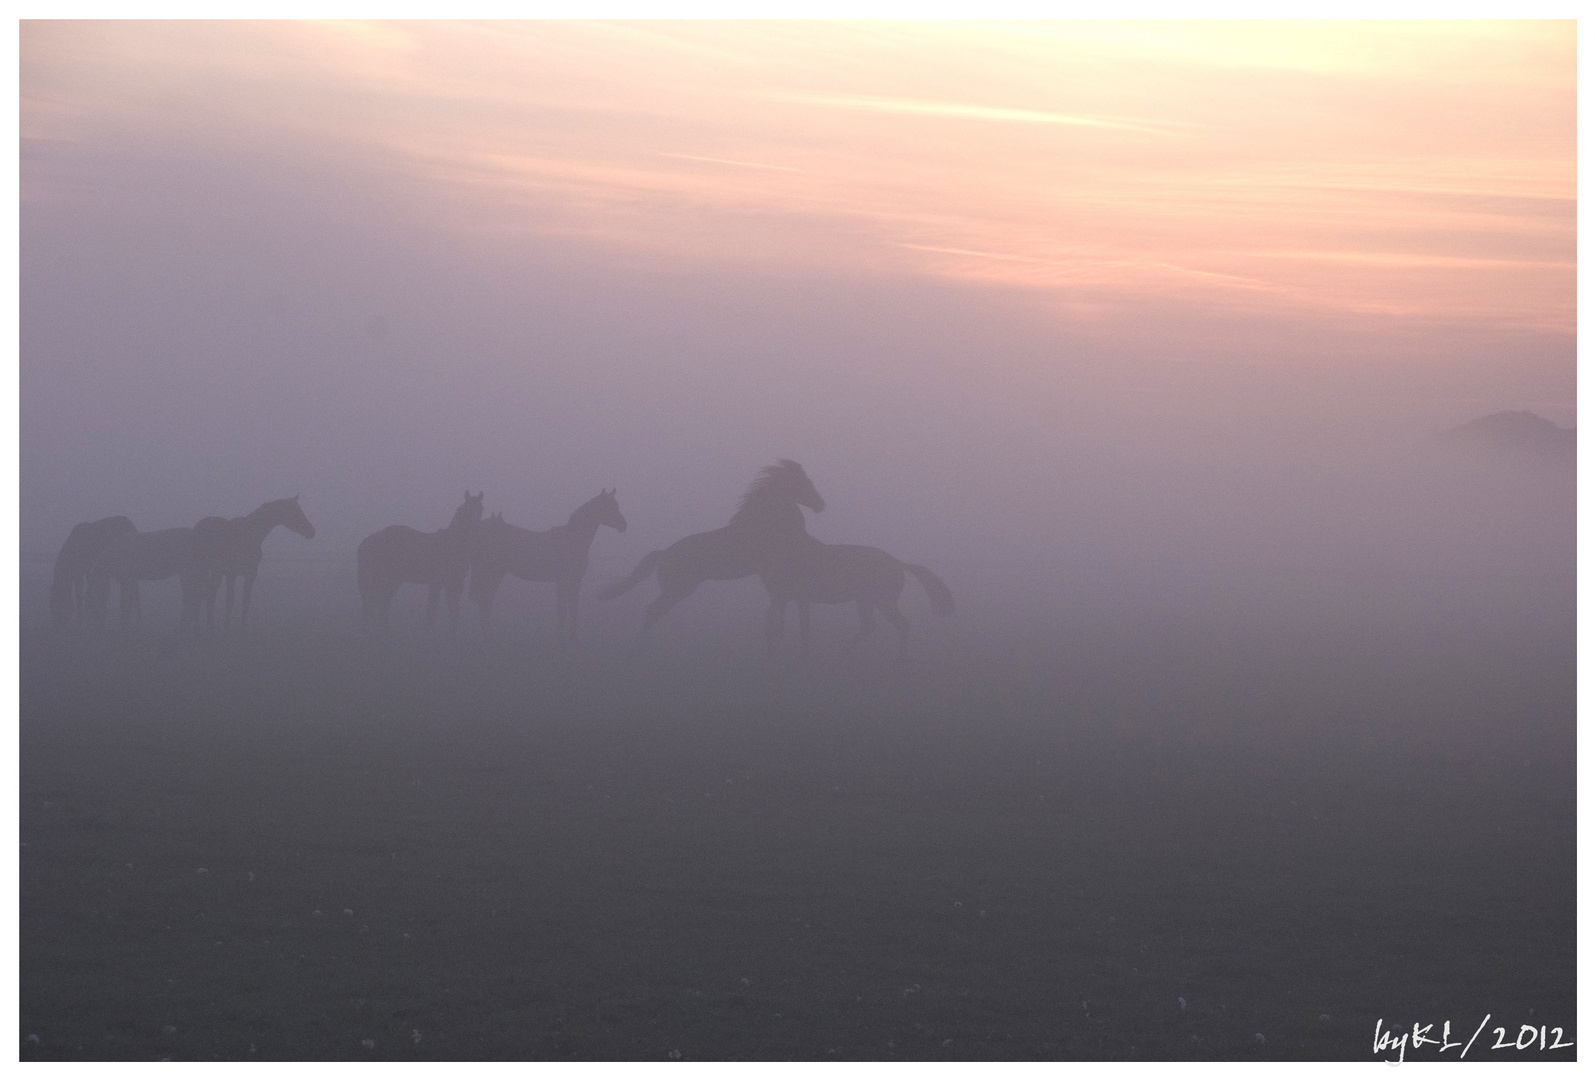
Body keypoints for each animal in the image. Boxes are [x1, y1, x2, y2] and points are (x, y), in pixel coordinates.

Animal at [191, 494, 315, 634]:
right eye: (295, 511)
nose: (311, 532)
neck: (250, 534)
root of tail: (198, 527)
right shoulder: (231, 574)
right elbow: (230, 600)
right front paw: (226, 629)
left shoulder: (250, 574)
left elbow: (246, 601)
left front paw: (243, 629)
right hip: (203, 569)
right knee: (201, 594)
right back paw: (202, 627)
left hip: (213, 572)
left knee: (207, 594)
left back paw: (206, 626)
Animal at [358, 491, 481, 631]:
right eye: (467, 510)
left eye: (481, 509)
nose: (476, 529)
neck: (452, 544)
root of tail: (371, 539)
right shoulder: (437, 582)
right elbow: (432, 612)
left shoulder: (455, 583)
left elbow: (453, 611)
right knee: (373, 602)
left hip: (389, 579)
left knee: (380, 601)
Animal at [465, 484, 625, 641]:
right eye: (608, 507)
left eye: (616, 505)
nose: (624, 525)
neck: (572, 541)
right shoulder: (562, 582)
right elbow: (562, 611)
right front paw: (560, 638)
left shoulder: (575, 582)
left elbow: (572, 610)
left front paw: (573, 638)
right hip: (491, 573)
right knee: (484, 600)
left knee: (485, 601)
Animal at [599, 456, 823, 647]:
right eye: (804, 483)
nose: (820, 505)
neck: (763, 521)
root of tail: (664, 553)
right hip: (678, 588)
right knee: (653, 610)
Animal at [762, 539, 950, 657]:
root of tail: (899, 563)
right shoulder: (787, 599)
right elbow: (778, 620)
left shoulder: (800, 599)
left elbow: (800, 625)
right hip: (865, 601)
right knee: (870, 625)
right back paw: (845, 652)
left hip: (882, 602)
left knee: (901, 624)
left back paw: (899, 660)